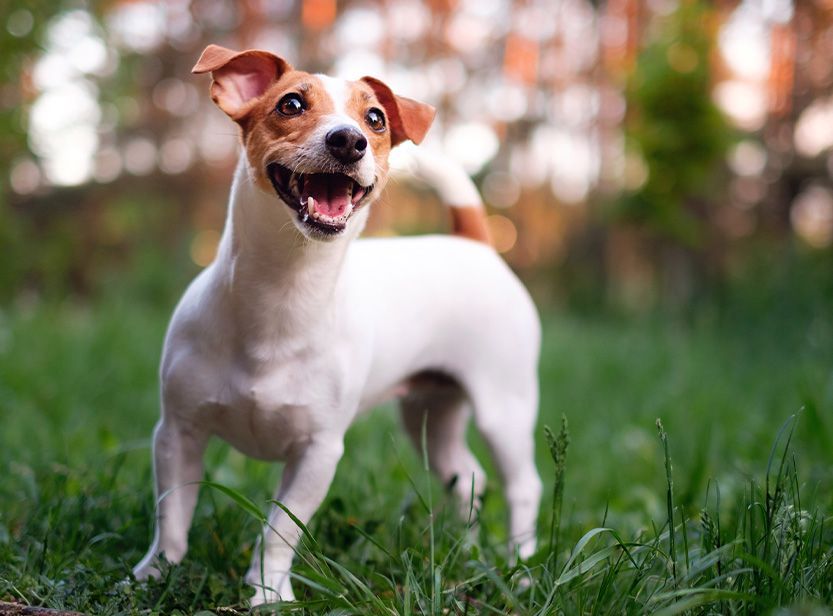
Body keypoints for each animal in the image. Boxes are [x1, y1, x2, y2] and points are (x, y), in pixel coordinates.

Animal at [133, 44, 544, 608]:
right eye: (290, 104)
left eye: (375, 119)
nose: (348, 139)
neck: (283, 292)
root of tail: (475, 242)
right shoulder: (178, 433)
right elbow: (172, 513)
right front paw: (158, 573)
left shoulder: (318, 453)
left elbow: (279, 531)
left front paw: (268, 592)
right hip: (429, 414)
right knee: (468, 477)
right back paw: (465, 548)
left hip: (504, 408)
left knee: (523, 485)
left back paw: (520, 567)